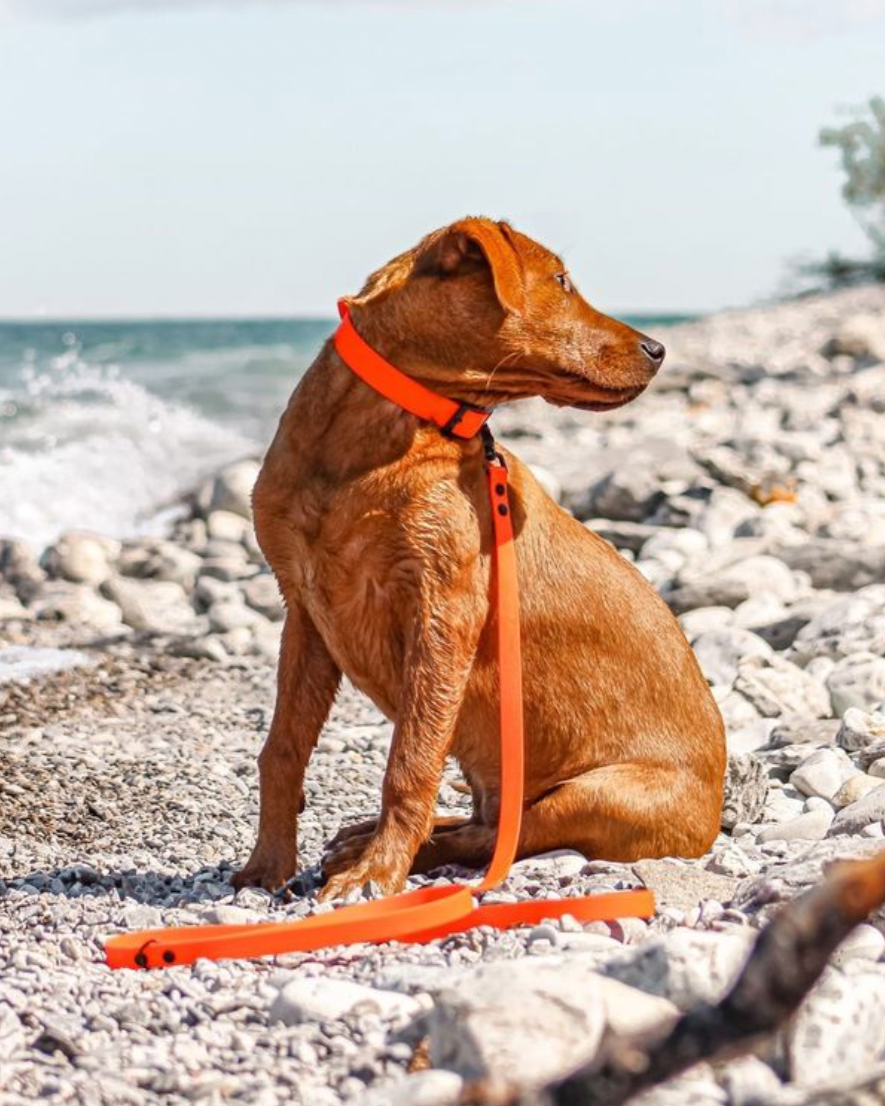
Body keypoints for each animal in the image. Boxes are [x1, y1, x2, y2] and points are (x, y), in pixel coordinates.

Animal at [234, 215, 725, 898]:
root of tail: (715, 814)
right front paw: (267, 865)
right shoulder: (305, 610)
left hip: (597, 795)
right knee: (484, 822)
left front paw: (376, 874)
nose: (659, 349)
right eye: (562, 281)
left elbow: (409, 762)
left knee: (497, 836)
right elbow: (282, 748)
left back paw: (378, 850)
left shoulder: (444, 611)